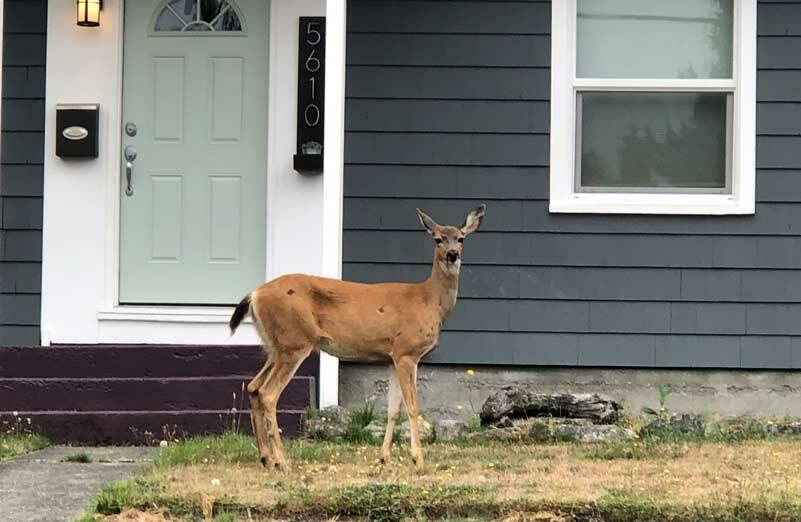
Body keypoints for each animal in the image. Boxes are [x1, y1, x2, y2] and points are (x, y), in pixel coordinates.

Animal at [228, 202, 484, 468]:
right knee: (268, 394)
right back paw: (282, 461)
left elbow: (393, 410)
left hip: (276, 345)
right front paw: (418, 459)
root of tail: (255, 295)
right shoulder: (408, 351)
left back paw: (266, 457)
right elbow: (413, 407)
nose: (453, 254)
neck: (430, 301)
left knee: (253, 387)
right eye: (438, 239)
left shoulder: (393, 356)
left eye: (461, 238)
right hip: (295, 341)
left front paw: (385, 457)